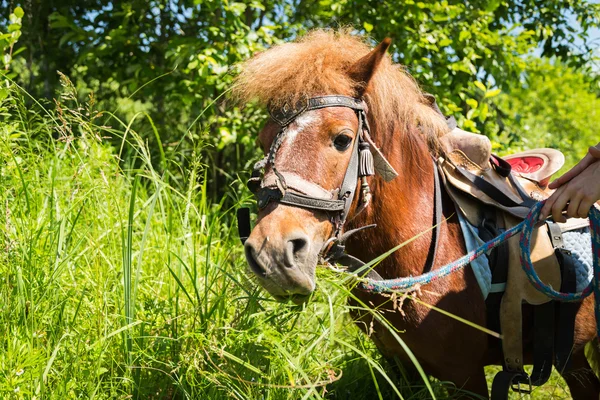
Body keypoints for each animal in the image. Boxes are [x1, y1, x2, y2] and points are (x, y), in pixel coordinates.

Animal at [233, 29, 600, 398]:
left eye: (342, 139)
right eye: (263, 141)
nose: (272, 254)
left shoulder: (466, 377)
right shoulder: (400, 367)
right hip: (573, 359)